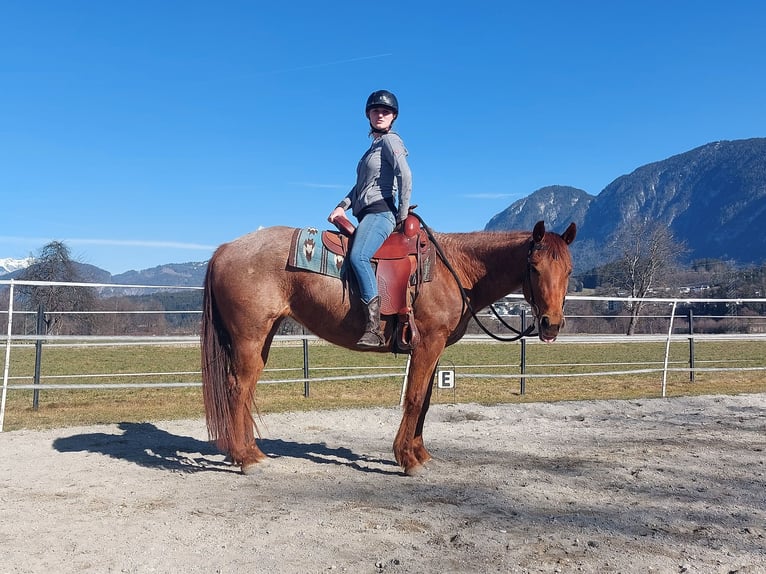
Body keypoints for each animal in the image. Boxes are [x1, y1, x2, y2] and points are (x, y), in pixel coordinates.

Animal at [201, 220, 580, 476]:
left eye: (569, 270)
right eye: (534, 267)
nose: (551, 324)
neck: (453, 268)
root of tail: (225, 249)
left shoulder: (436, 348)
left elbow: (425, 401)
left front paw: (420, 452)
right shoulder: (427, 343)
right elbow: (414, 398)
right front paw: (407, 459)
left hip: (260, 338)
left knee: (245, 389)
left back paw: (246, 451)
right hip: (249, 338)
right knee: (238, 388)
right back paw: (247, 458)